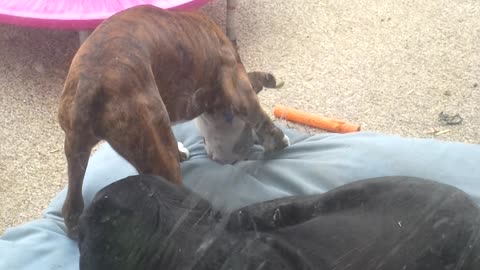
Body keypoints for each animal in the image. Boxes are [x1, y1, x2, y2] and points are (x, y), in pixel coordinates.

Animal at [56, 4, 288, 238]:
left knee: (72, 204)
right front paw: (279, 142)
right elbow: (261, 119)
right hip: (161, 160)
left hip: (76, 150)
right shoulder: (237, 85)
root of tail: (91, 84)